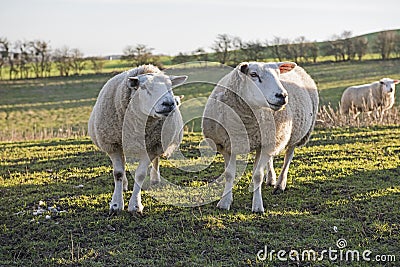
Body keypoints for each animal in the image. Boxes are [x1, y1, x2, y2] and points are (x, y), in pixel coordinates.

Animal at [88, 66, 188, 215]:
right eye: (144, 87)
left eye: (170, 87)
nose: (169, 103)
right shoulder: (113, 145)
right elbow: (118, 173)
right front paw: (116, 205)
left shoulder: (151, 146)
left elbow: (140, 175)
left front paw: (135, 206)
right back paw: (124, 185)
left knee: (156, 161)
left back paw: (155, 178)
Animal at [203, 61, 318, 214]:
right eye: (253, 74)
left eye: (278, 74)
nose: (282, 95)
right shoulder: (228, 145)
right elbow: (229, 174)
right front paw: (225, 202)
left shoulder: (266, 144)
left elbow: (258, 175)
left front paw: (257, 205)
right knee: (269, 160)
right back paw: (270, 179)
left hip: (295, 134)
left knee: (288, 156)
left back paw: (280, 184)